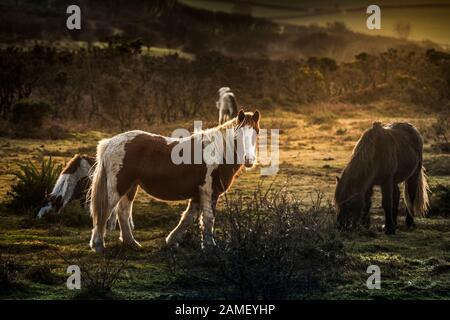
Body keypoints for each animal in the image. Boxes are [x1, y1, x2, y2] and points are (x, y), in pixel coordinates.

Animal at [89, 110, 260, 252]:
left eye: (256, 134)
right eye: (238, 135)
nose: (249, 160)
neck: (217, 152)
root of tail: (111, 143)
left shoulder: (198, 194)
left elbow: (188, 218)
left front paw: (171, 240)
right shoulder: (209, 192)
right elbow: (208, 219)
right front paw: (210, 246)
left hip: (130, 187)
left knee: (123, 212)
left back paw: (131, 243)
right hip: (118, 187)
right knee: (105, 211)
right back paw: (98, 245)